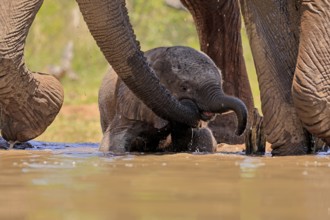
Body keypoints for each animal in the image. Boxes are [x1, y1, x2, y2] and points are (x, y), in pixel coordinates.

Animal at [98, 46, 248, 153]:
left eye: (221, 83)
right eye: (184, 87)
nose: (238, 132)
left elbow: (202, 136)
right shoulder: (132, 101)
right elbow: (115, 138)